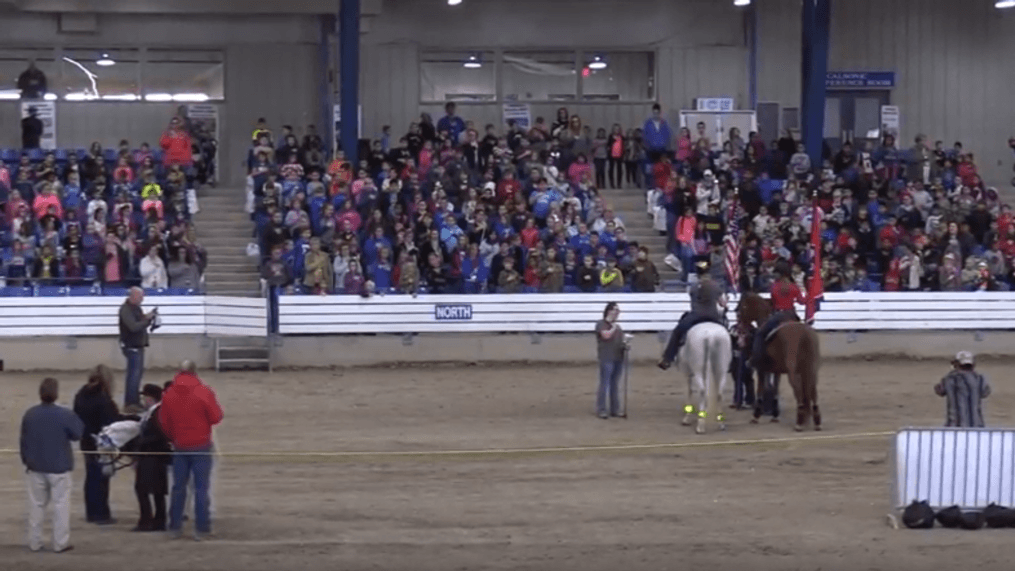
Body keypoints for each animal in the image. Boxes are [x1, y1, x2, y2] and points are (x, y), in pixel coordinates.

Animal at [734, 292, 820, 432]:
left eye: (742, 307)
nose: (740, 327)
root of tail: (804, 333)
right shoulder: (776, 371)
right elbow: (775, 391)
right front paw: (774, 414)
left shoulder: (762, 370)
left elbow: (761, 391)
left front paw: (756, 416)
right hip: (810, 370)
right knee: (812, 392)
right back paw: (816, 421)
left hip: (794, 373)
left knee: (799, 392)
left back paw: (799, 422)